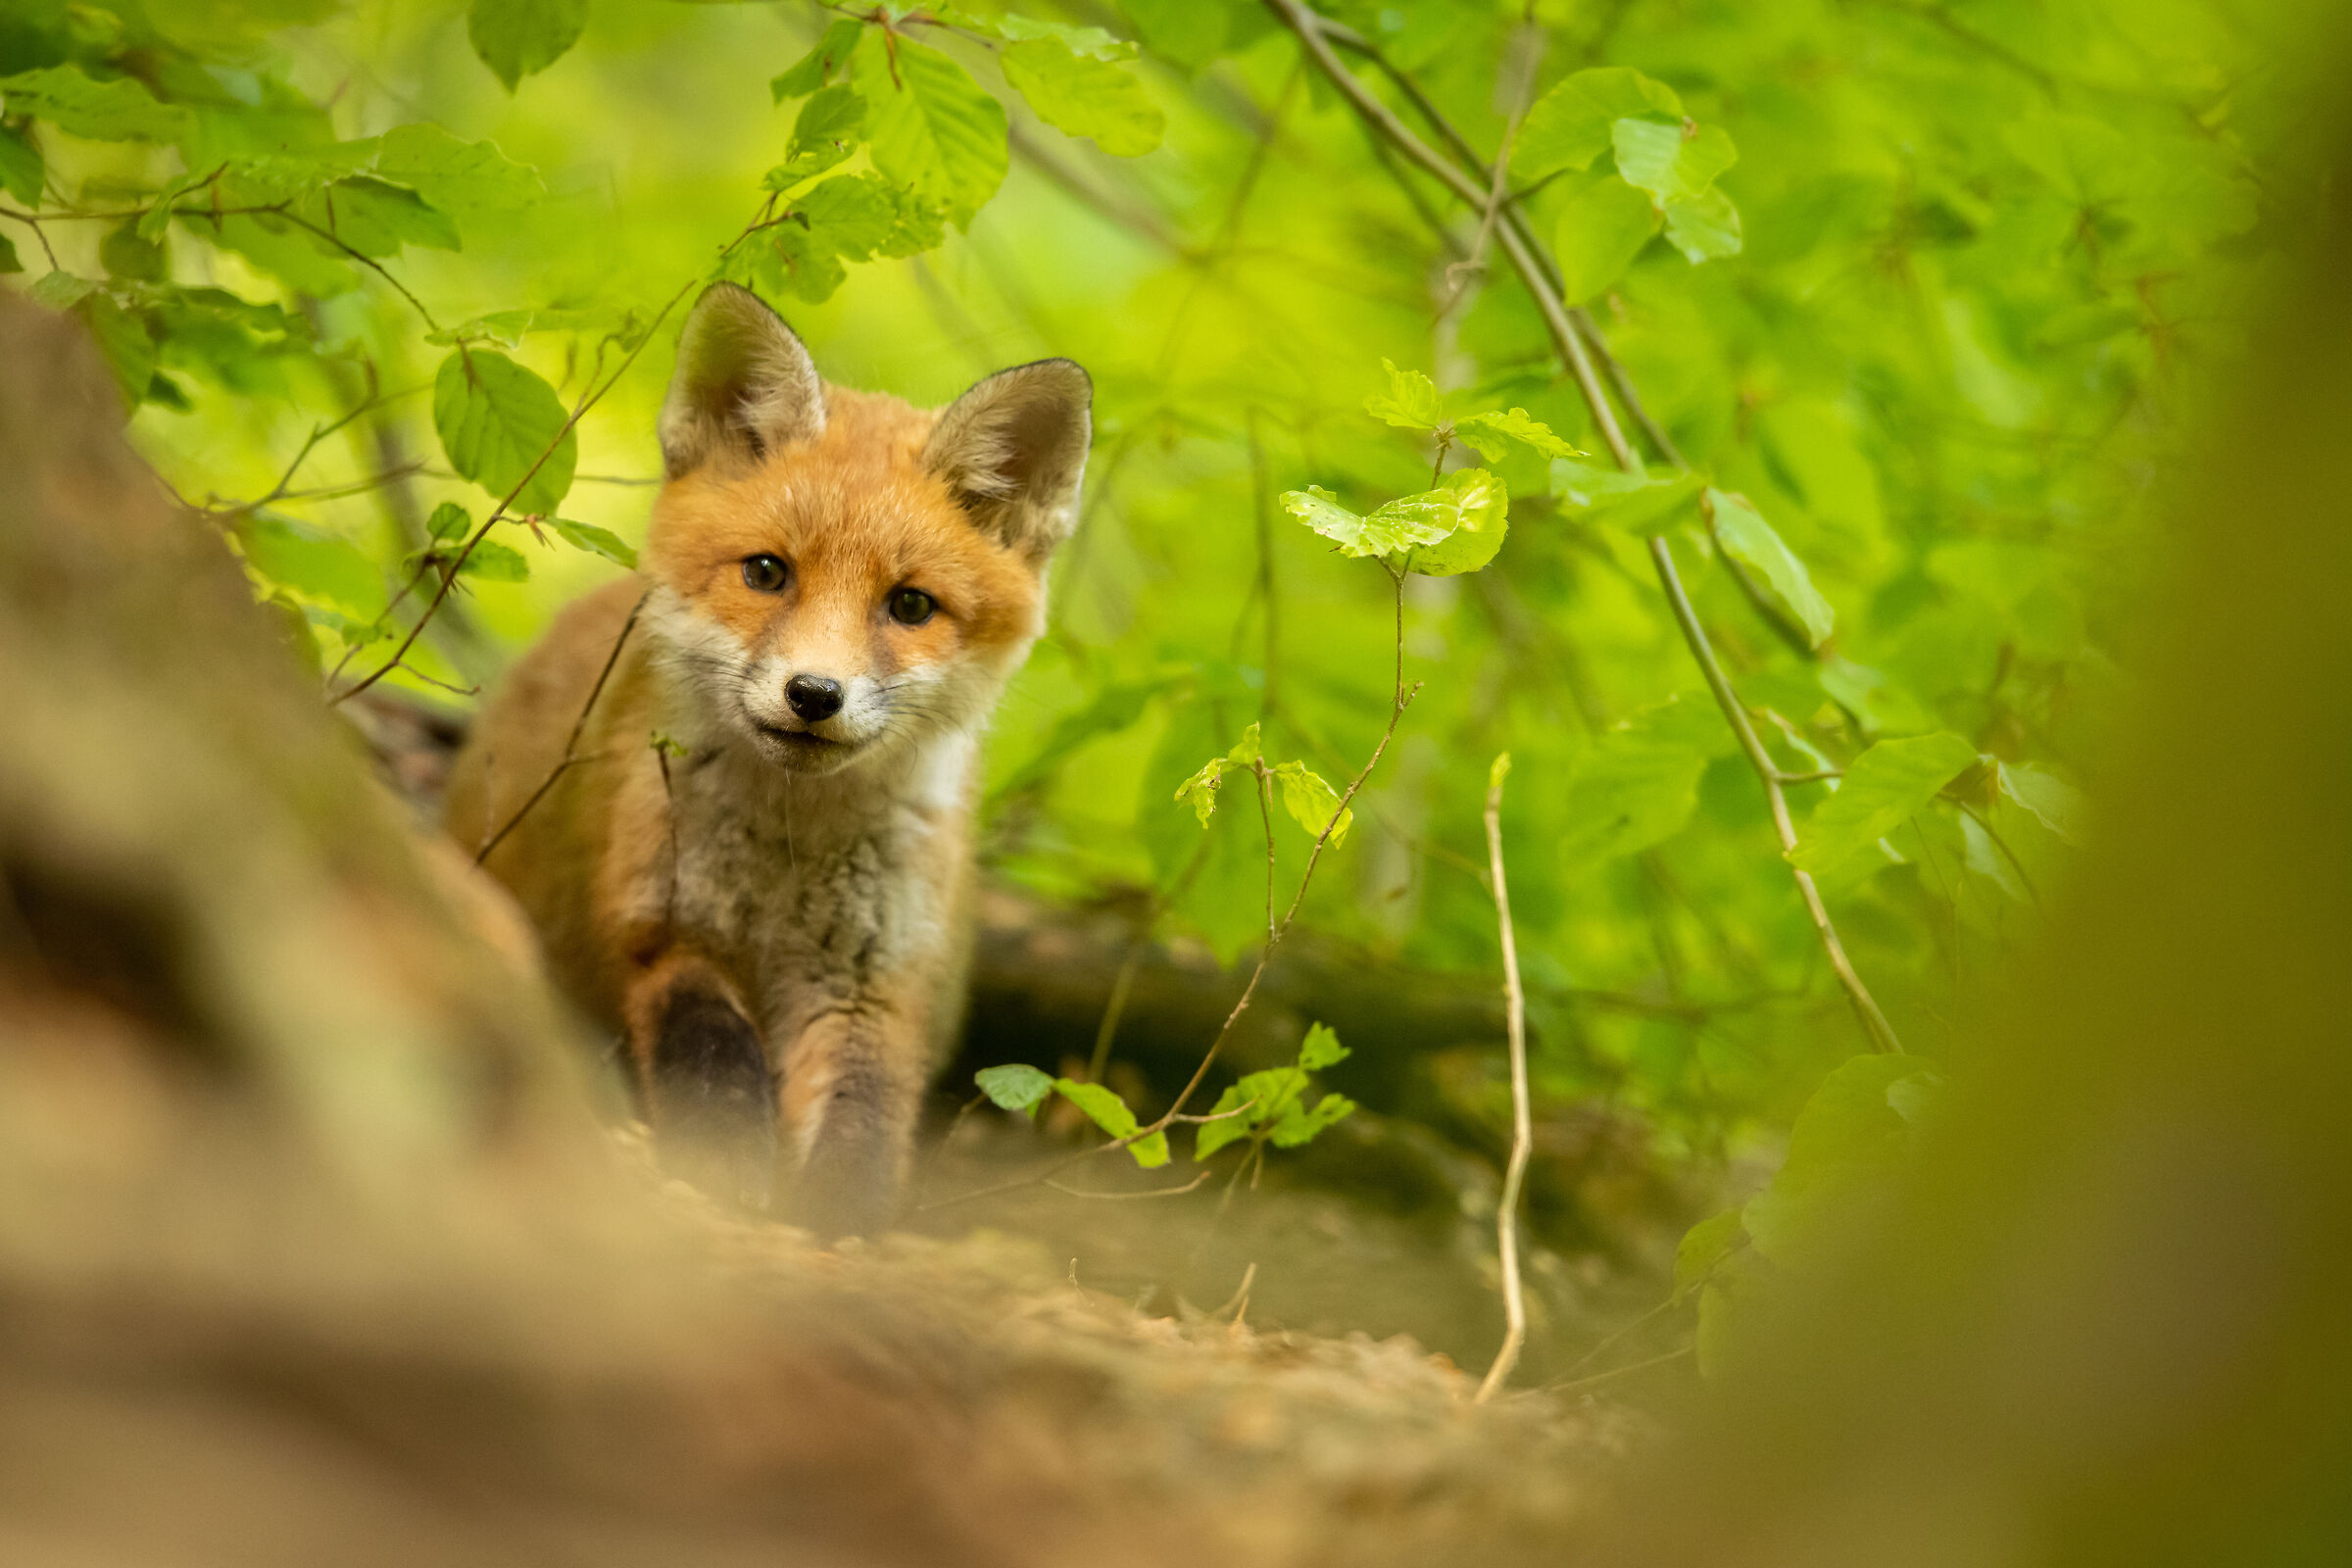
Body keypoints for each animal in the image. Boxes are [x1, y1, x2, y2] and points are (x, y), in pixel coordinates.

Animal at [443, 282, 1090, 1235]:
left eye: (910, 605)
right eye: (766, 572)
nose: (815, 694)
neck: (791, 861)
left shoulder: (877, 983)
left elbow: (863, 1114)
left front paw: (835, 1218)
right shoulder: (661, 928)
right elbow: (711, 1053)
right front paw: (720, 1173)